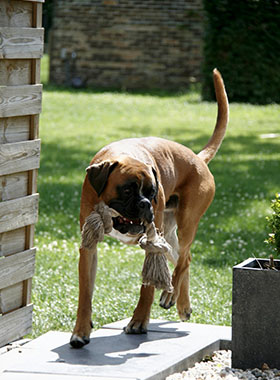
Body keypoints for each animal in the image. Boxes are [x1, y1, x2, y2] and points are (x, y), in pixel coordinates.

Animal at [70, 68, 228, 348]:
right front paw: (81, 330)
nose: (145, 204)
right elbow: (85, 293)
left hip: (185, 224)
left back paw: (171, 296)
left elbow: (147, 288)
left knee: (184, 260)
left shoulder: (153, 242)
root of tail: (198, 158)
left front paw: (138, 322)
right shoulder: (89, 246)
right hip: (171, 235)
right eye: (127, 190)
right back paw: (182, 303)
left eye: (152, 192)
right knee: (183, 259)